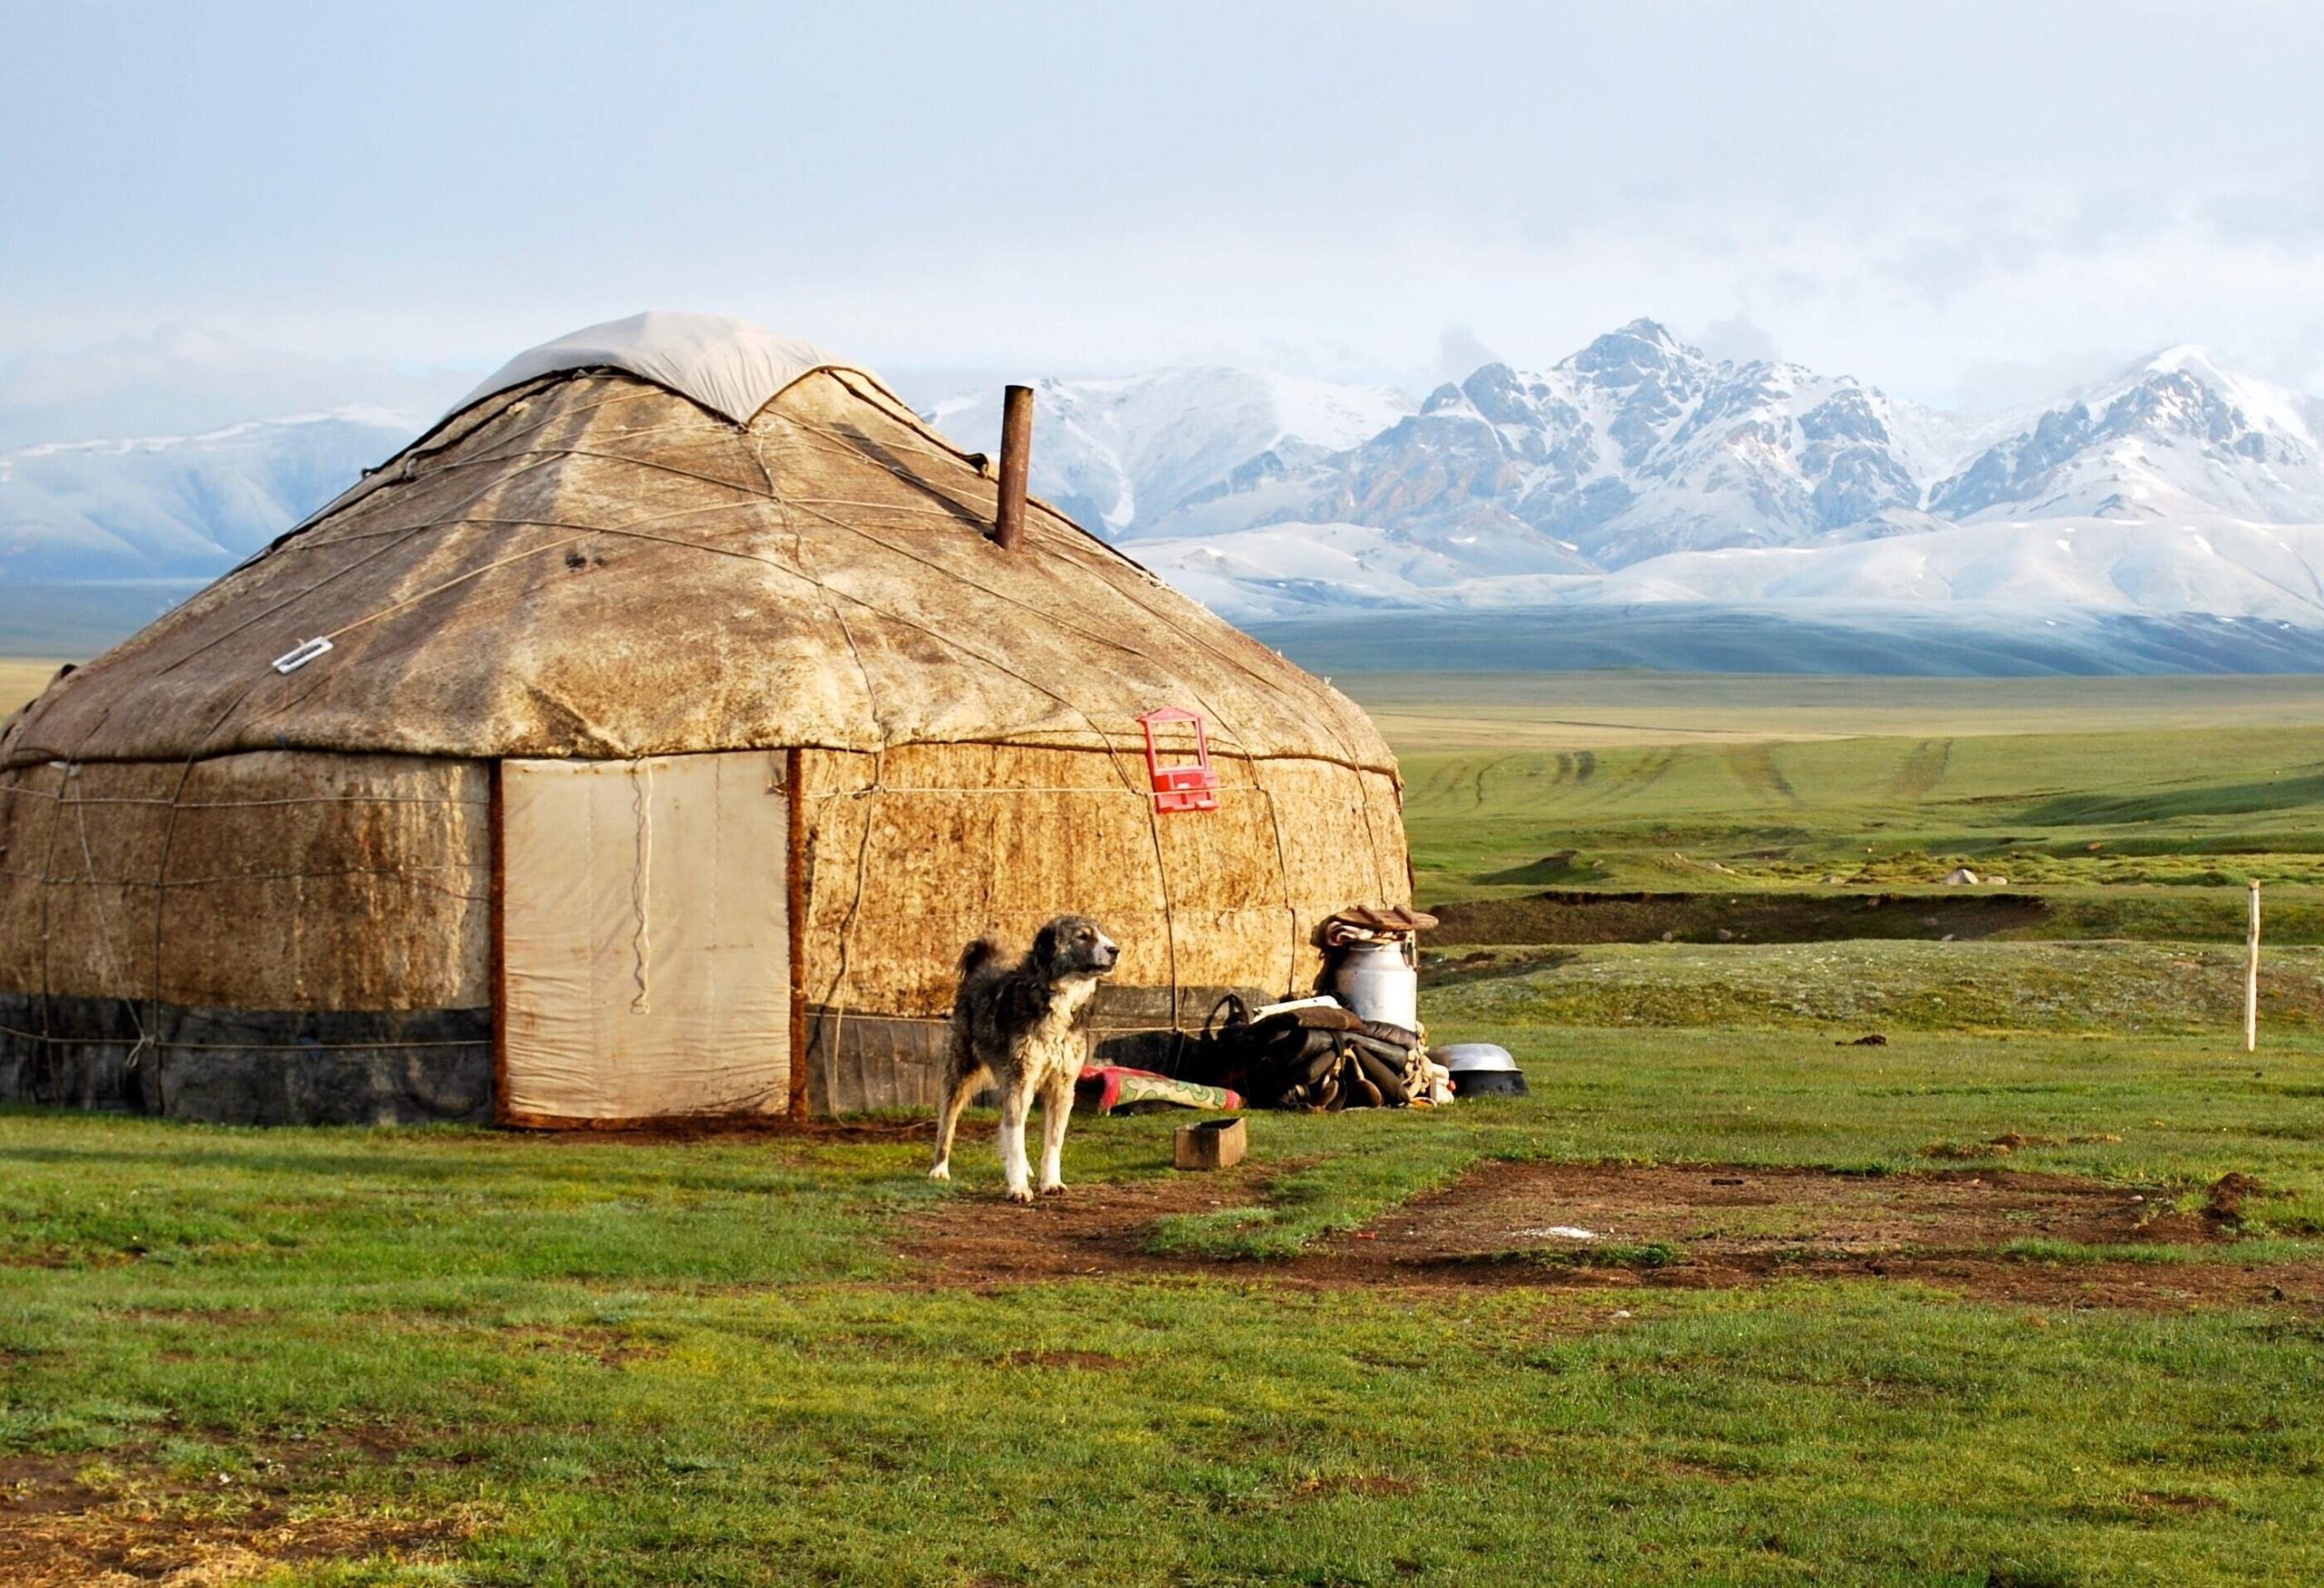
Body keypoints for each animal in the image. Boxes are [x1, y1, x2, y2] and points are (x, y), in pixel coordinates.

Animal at [930, 921, 1119, 1208]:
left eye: (1102, 934)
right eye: (1083, 936)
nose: (1115, 950)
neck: (1055, 997)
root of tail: (981, 970)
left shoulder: (1062, 1085)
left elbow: (1053, 1141)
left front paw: (1050, 1182)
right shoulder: (1019, 1080)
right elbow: (1015, 1135)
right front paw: (1018, 1187)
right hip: (960, 1074)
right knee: (947, 1123)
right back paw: (940, 1169)